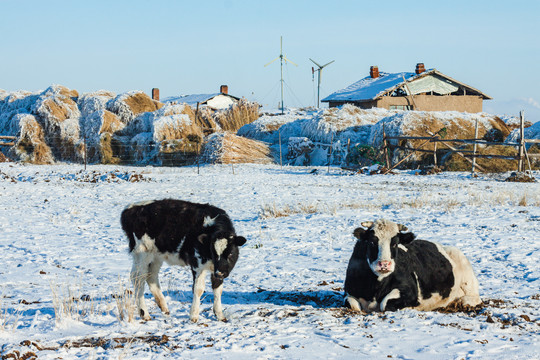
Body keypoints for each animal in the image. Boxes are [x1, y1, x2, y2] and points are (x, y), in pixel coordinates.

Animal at [344, 219, 478, 312]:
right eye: (372, 242)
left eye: (395, 243)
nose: (384, 264)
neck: (375, 289)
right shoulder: (348, 293)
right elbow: (353, 305)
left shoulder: (410, 292)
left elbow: (385, 303)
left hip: (466, 273)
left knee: (475, 297)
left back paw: (463, 302)